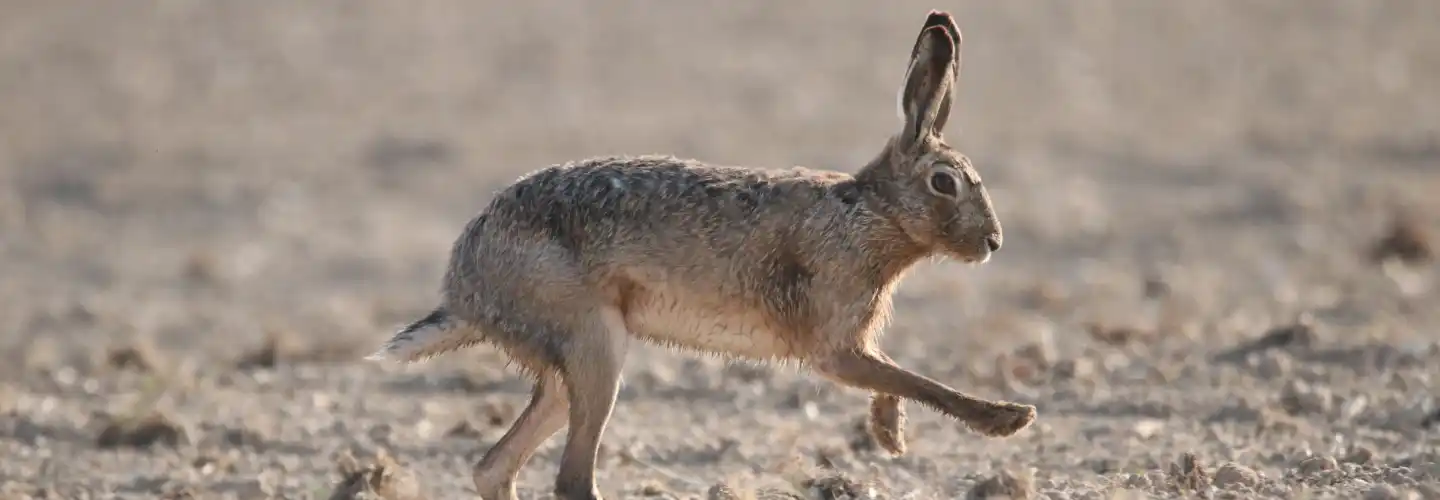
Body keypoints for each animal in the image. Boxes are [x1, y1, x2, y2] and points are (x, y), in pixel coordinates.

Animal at [366, 10, 1036, 500]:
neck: (871, 211)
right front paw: (1007, 420)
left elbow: (896, 378)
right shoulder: (834, 346)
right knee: (570, 478)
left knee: (496, 466)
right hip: (593, 342)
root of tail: (463, 286)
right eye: (944, 183)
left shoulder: (854, 342)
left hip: (568, 369)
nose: (993, 242)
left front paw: (888, 436)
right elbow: (917, 380)